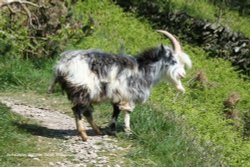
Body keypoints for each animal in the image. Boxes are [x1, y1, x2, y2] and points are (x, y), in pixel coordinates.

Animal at [47, 29, 191, 141]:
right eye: (174, 61)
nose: (183, 75)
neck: (143, 68)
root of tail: (62, 66)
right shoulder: (128, 94)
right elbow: (127, 111)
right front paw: (128, 131)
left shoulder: (118, 94)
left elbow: (116, 111)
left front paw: (113, 130)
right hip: (83, 88)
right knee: (78, 109)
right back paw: (84, 135)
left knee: (86, 111)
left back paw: (98, 131)